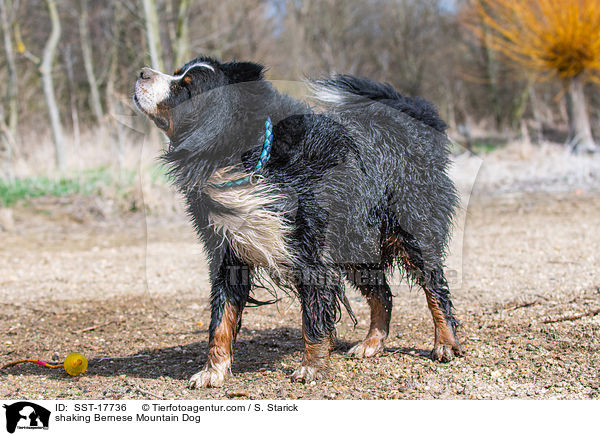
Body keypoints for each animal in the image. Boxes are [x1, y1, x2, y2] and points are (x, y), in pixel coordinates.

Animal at [134, 57, 462, 388]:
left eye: (186, 87)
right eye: (177, 73)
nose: (142, 72)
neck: (248, 158)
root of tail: (413, 123)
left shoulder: (310, 252)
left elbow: (313, 316)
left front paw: (312, 366)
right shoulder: (228, 250)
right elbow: (221, 319)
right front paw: (212, 370)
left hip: (411, 231)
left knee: (435, 289)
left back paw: (445, 344)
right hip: (355, 244)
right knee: (383, 294)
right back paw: (372, 343)